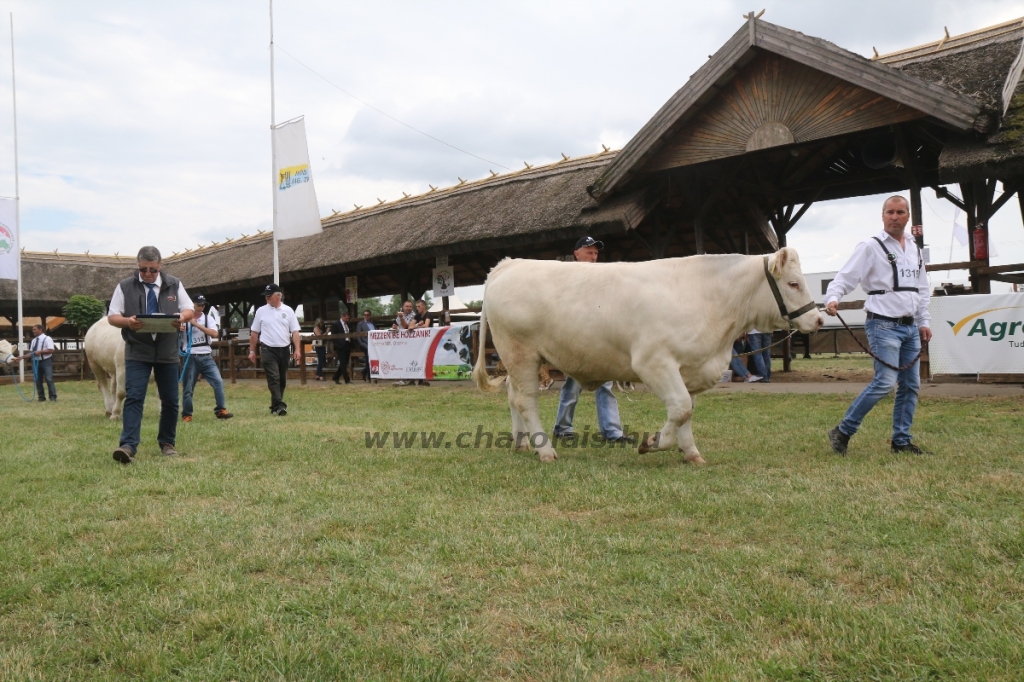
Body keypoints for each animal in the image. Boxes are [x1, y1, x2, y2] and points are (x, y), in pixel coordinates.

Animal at [473, 245, 823, 462]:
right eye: (793, 283)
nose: (818, 320)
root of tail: (510, 263)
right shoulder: (654, 363)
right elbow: (680, 408)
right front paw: (653, 443)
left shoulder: (690, 369)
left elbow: (687, 411)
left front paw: (691, 452)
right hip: (521, 353)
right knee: (525, 400)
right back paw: (544, 450)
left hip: (521, 360)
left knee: (512, 395)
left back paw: (522, 442)